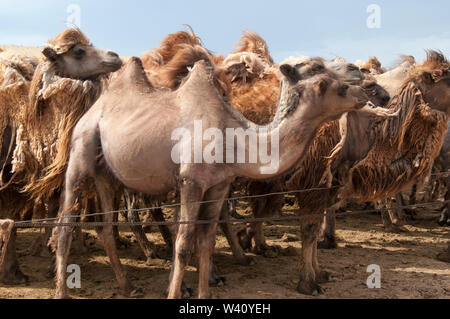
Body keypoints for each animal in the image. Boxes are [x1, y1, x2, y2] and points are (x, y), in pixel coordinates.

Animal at [48, 55, 380, 300]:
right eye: (322, 77)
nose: (363, 91)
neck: (235, 138)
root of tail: (96, 106)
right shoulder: (191, 181)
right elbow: (184, 242)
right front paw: (177, 292)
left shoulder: (220, 184)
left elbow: (206, 241)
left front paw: (205, 292)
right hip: (82, 147)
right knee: (65, 222)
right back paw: (62, 291)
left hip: (108, 172)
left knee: (106, 226)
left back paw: (128, 287)